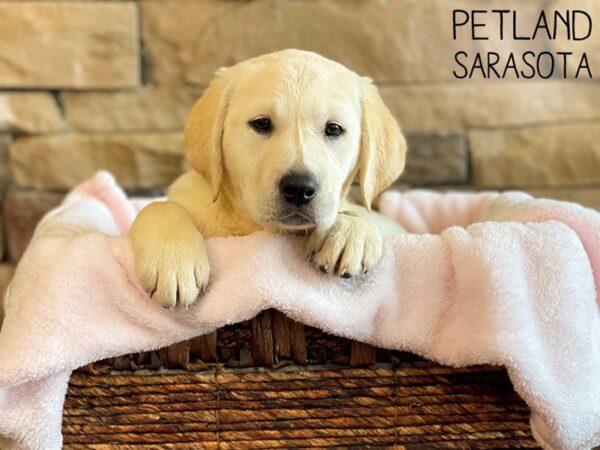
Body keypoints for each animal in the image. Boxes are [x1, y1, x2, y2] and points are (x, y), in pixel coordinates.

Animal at [129, 50, 406, 310]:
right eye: (261, 123)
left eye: (334, 129)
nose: (299, 189)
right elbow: (159, 206)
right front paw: (173, 261)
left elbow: (359, 213)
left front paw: (348, 230)